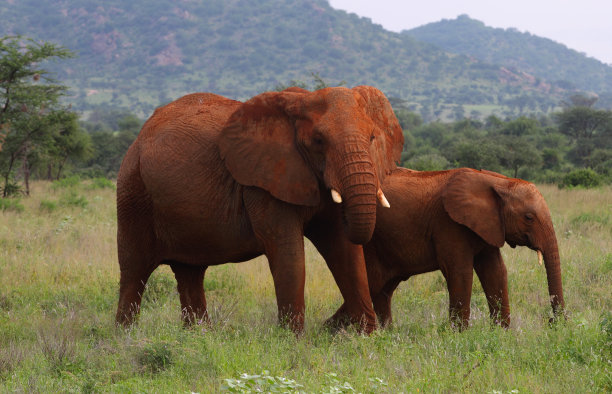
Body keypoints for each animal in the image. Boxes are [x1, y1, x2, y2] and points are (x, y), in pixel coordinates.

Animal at [115, 85, 404, 332]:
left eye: (372, 137)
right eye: (318, 140)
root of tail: (140, 135)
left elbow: (345, 251)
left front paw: (366, 339)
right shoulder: (262, 182)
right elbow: (288, 252)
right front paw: (292, 341)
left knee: (190, 271)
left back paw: (198, 337)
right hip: (132, 192)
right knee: (134, 271)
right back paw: (125, 338)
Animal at [360, 168, 568, 328]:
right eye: (529, 218)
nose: (552, 321)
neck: (498, 181)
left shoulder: (488, 226)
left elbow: (495, 271)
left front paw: (500, 334)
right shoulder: (448, 223)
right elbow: (460, 272)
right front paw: (460, 336)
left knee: (383, 292)